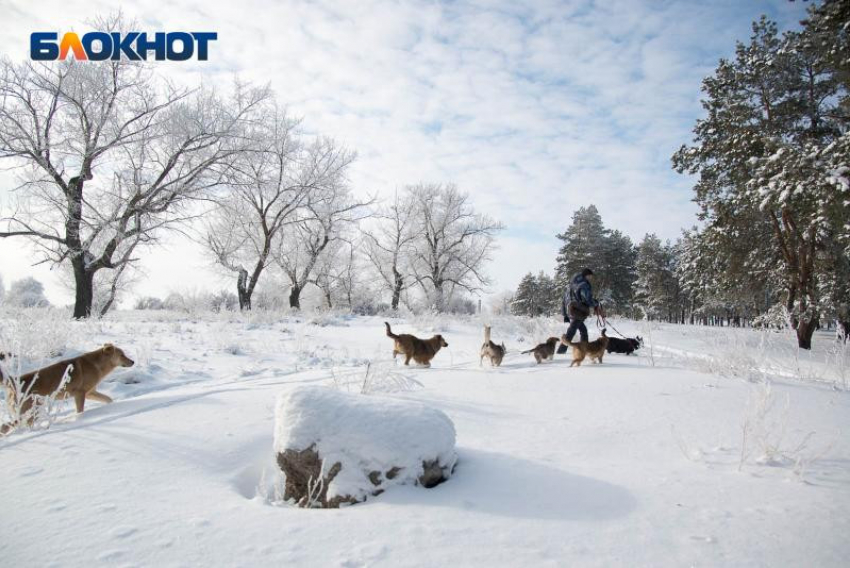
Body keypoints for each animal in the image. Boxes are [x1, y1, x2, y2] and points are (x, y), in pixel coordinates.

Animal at [0, 342, 133, 434]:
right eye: (122, 355)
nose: (133, 362)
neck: (97, 365)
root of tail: (12, 382)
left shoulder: (91, 393)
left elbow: (108, 399)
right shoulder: (80, 394)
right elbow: (80, 411)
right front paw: (79, 420)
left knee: (7, 426)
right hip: (31, 411)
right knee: (8, 426)